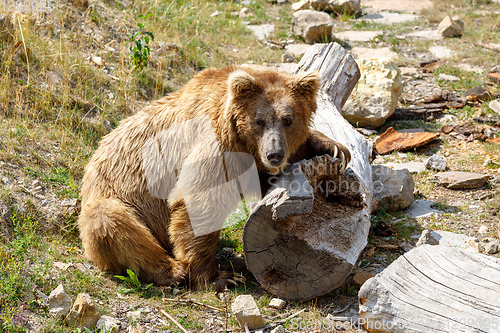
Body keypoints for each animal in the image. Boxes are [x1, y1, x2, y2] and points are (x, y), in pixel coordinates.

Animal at [79, 65, 352, 288]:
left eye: (288, 119)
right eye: (259, 121)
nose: (274, 154)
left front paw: (334, 148)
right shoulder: (217, 145)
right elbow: (199, 198)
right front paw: (219, 277)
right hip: (117, 199)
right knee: (113, 224)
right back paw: (172, 271)